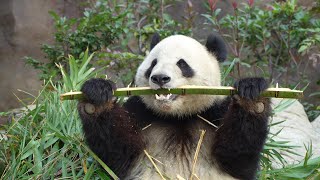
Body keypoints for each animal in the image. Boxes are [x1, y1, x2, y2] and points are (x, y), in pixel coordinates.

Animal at [77, 34, 270, 180]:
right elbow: (118, 154)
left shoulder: (215, 112)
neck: (177, 116)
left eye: (182, 64)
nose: (160, 78)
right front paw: (97, 95)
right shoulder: (139, 113)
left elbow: (238, 155)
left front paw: (251, 93)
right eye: (153, 63)